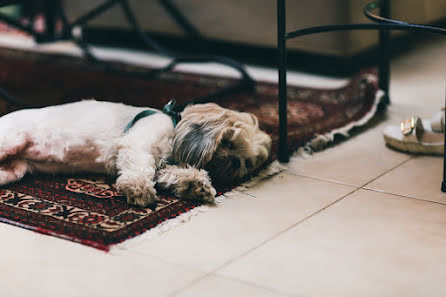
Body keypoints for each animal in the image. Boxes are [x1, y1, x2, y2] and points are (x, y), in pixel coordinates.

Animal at [0, 99, 272, 206]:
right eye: (228, 143)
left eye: (245, 163)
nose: (234, 163)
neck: (173, 125)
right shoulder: (137, 144)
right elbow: (140, 169)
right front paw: (138, 190)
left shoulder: (163, 165)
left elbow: (172, 174)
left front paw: (195, 185)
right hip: (11, 141)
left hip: (14, 170)